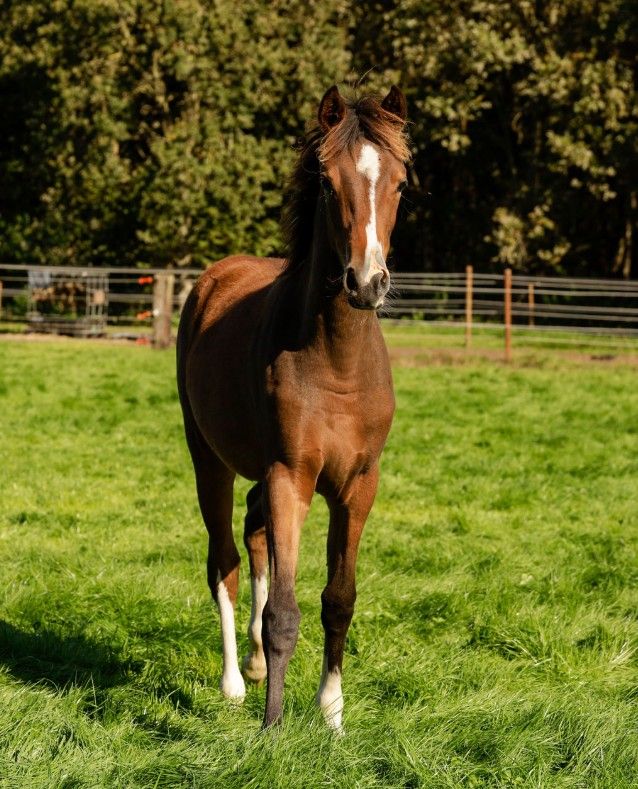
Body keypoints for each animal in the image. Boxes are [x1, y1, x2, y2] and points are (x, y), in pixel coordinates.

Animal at [176, 85, 409, 731]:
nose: (366, 282)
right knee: (226, 559)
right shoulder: (291, 476)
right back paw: (236, 682)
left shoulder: (358, 485)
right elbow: (284, 611)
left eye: (400, 183)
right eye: (328, 182)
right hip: (210, 461)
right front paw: (274, 726)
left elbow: (339, 599)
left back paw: (255, 666)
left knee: (255, 537)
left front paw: (332, 713)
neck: (334, 363)